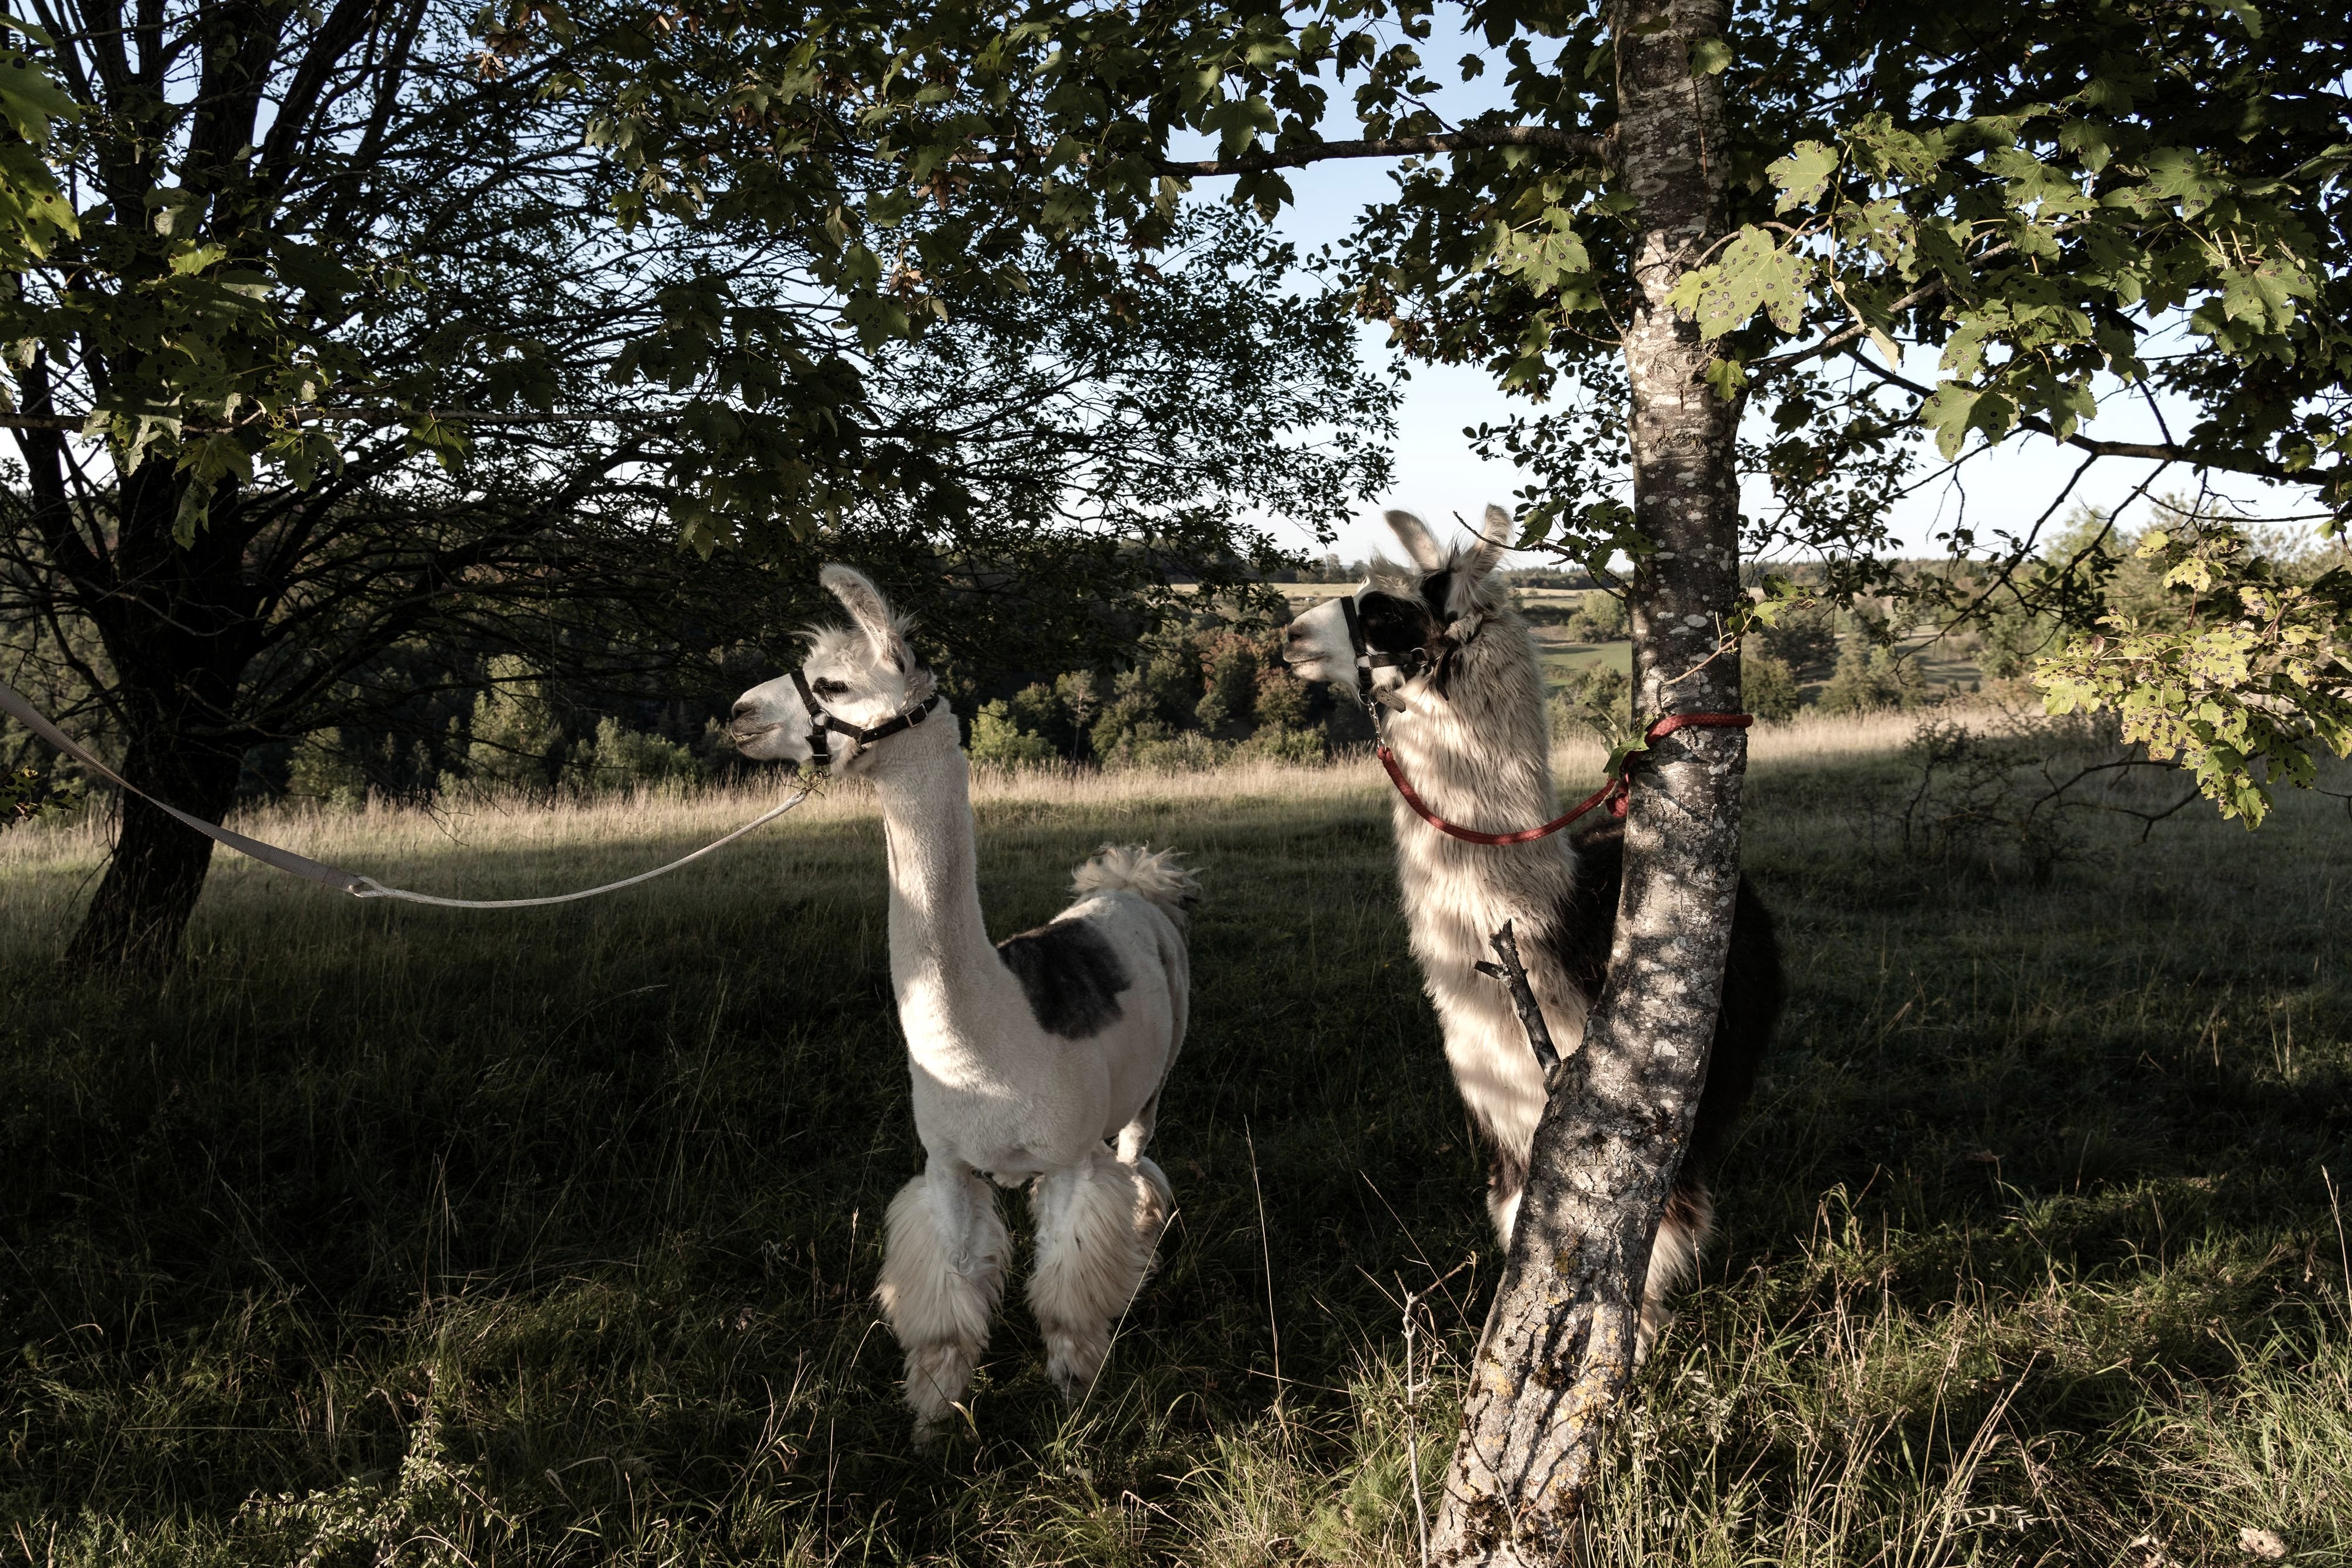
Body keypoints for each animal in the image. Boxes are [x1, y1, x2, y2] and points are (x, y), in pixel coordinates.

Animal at [730, 565, 1198, 1441]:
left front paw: (1076, 1409)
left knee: (1138, 1164)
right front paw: (931, 1427)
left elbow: (1067, 1303)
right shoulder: (945, 1163)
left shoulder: (1068, 1157)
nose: (740, 712)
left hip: (1155, 1080)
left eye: (834, 683)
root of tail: (1127, 884)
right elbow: (943, 1310)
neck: (983, 1041)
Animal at [1284, 510, 1784, 1357]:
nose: (1289, 634)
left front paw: (1627, 1357)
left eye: (1386, 614)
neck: (1554, 937)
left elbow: (1643, 1254)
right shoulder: (1511, 1134)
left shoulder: (1634, 1132)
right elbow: (1529, 1233)